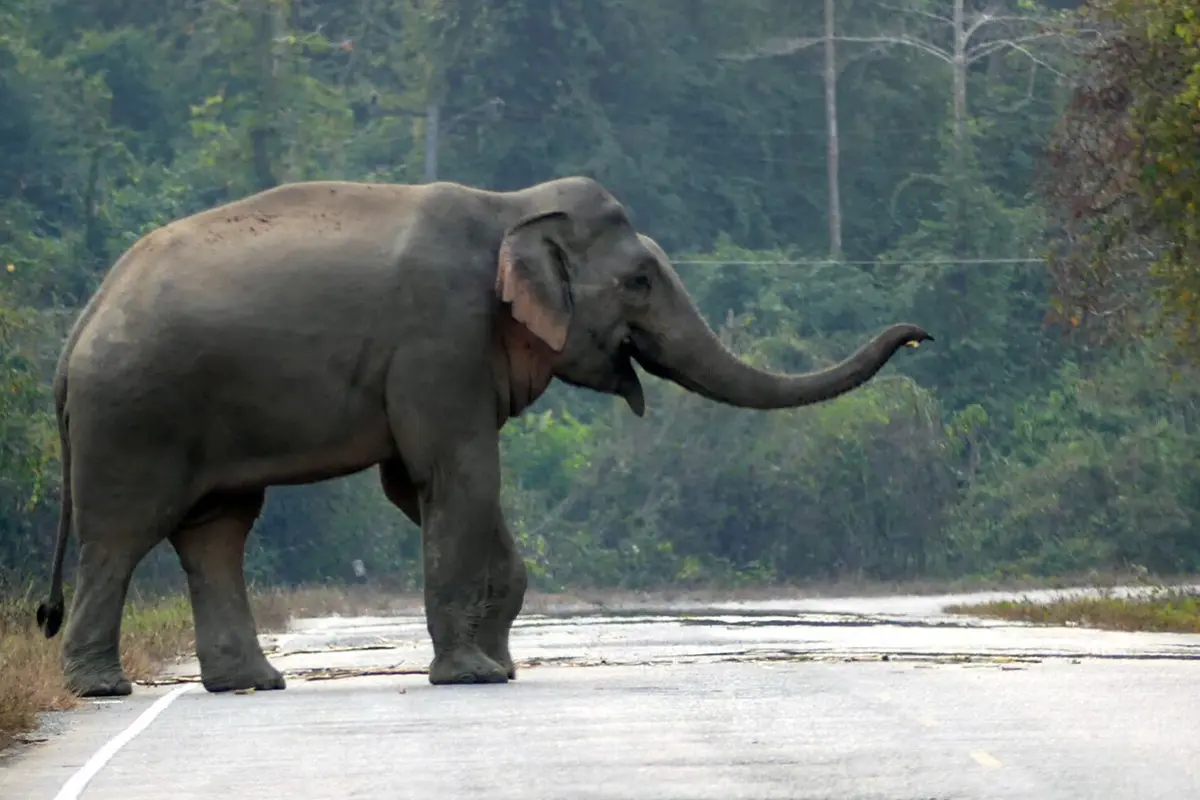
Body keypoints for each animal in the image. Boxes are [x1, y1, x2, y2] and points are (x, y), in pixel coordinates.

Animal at [34, 175, 931, 697]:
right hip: (135, 412)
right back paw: (102, 689)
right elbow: (453, 472)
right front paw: (472, 677)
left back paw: (253, 685)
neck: (511, 206)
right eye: (640, 281)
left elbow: (421, 485)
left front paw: (498, 664)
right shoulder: (439, 337)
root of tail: (77, 328)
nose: (920, 335)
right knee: (125, 535)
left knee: (216, 530)